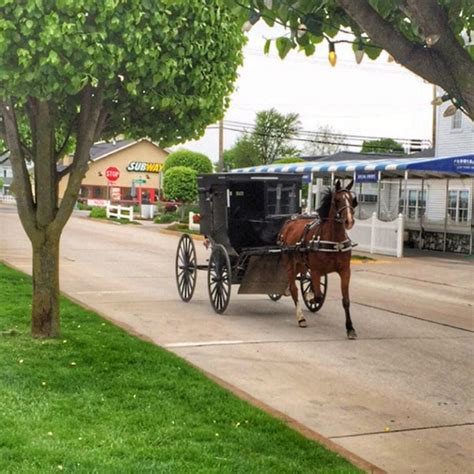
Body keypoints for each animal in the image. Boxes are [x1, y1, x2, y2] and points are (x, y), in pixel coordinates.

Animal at [280, 180, 358, 338]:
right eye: (337, 200)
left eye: (352, 199)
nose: (349, 221)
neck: (334, 241)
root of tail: (289, 223)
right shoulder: (316, 270)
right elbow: (317, 296)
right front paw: (310, 296)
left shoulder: (345, 271)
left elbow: (346, 301)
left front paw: (350, 328)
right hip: (290, 263)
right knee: (294, 289)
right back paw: (301, 317)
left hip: (300, 263)